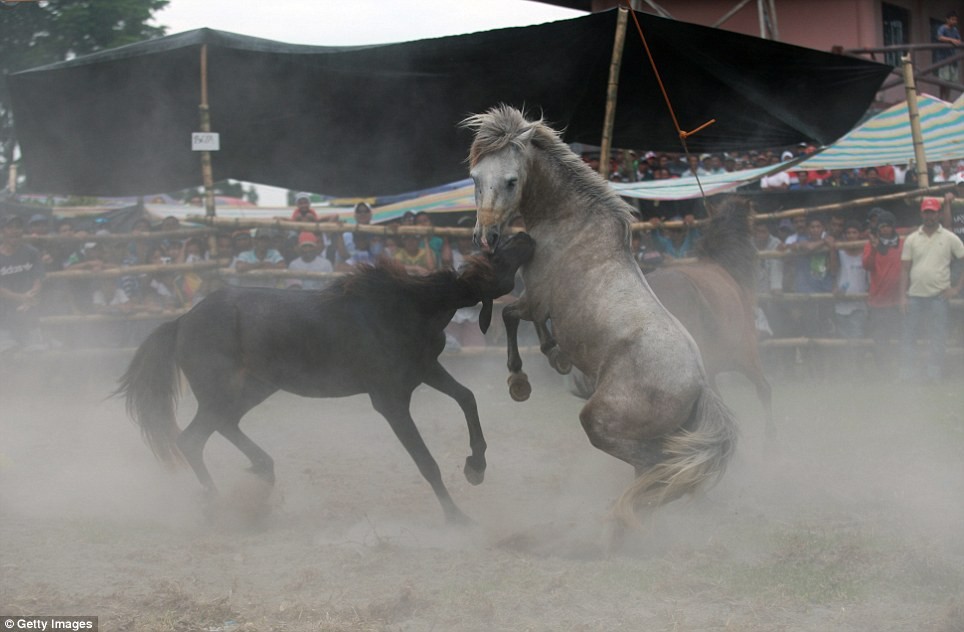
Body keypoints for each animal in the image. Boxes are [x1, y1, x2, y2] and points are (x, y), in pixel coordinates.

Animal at [466, 106, 740, 524]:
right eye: (475, 177)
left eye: (511, 181)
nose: (487, 237)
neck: (570, 225)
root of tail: (699, 387)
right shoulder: (541, 304)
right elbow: (536, 328)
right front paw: (558, 359)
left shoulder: (535, 298)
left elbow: (511, 317)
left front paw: (520, 382)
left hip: (601, 423)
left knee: (654, 466)